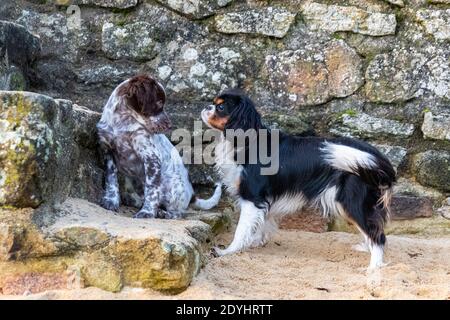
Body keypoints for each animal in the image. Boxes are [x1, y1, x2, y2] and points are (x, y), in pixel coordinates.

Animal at [96, 75, 221, 219]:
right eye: (159, 103)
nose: (170, 125)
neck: (122, 122)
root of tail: (191, 196)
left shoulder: (151, 157)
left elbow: (152, 189)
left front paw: (147, 212)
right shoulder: (108, 151)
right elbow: (111, 179)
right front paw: (111, 200)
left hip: (173, 188)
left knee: (178, 213)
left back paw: (163, 213)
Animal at [202, 89, 396, 268]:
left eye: (220, 107)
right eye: (213, 103)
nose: (206, 107)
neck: (248, 141)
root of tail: (377, 157)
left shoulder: (252, 197)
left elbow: (241, 229)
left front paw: (228, 251)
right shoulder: (264, 201)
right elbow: (261, 223)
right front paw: (255, 242)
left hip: (352, 202)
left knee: (378, 236)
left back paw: (374, 267)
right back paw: (365, 249)